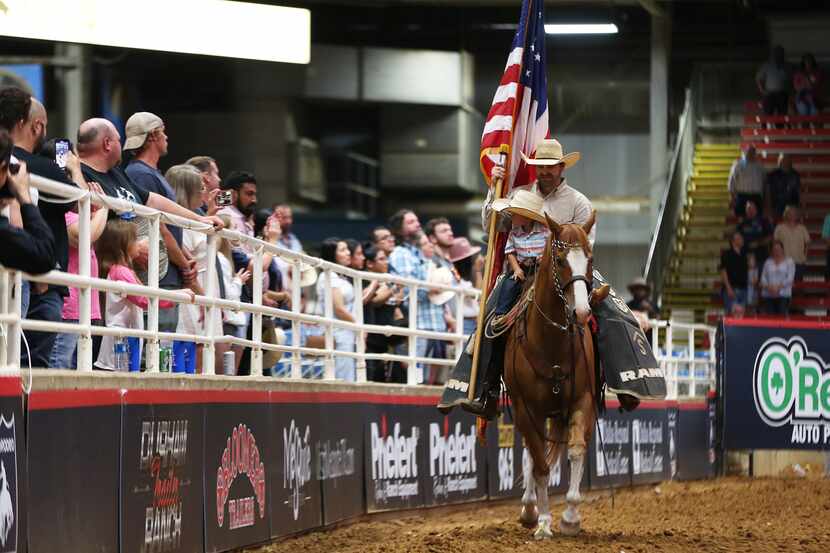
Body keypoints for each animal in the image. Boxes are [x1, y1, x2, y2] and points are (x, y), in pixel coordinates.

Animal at [500, 211, 612, 540]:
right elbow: (540, 465)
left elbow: (575, 452)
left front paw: (571, 517)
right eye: (560, 259)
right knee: (531, 454)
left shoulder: (582, 401)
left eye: (590, 258)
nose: (582, 312)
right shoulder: (526, 409)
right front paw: (544, 522)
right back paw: (529, 509)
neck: (550, 343)